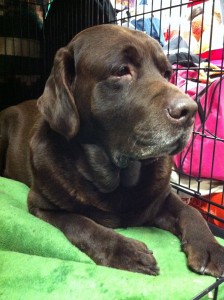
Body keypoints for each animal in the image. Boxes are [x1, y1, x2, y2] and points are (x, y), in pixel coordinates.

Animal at [0, 24, 224, 276]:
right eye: (121, 71)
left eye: (167, 73)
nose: (191, 110)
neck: (115, 180)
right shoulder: (40, 205)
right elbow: (82, 223)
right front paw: (126, 252)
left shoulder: (162, 198)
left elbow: (192, 212)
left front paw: (209, 247)